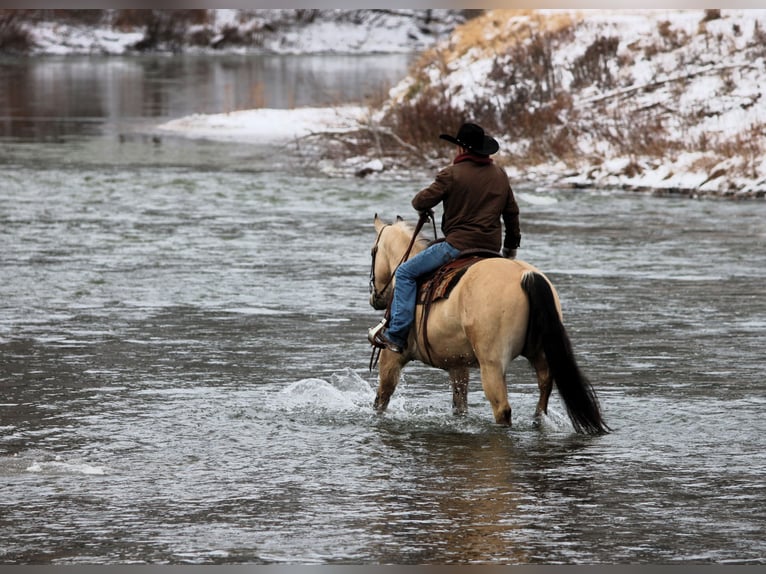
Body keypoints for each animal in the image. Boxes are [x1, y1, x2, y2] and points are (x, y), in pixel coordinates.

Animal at [368, 214, 610, 435]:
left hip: (491, 364)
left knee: (502, 408)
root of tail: (526, 276)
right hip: (540, 354)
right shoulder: (457, 365)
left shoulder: (391, 356)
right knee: (544, 390)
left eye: (373, 251)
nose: (375, 297)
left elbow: (382, 397)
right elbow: (460, 405)